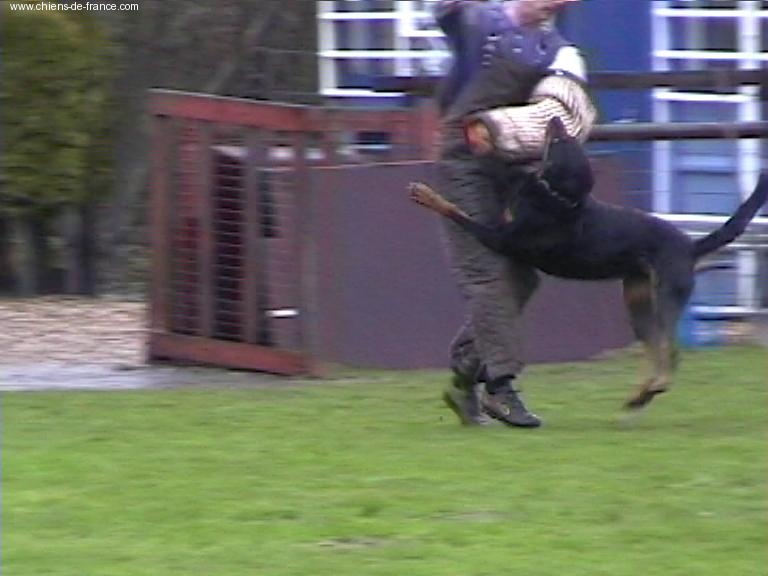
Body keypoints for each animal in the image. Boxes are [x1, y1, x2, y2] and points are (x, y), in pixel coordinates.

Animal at [410, 117, 767, 410]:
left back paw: (651, 390)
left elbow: (459, 213)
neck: (559, 198)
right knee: (655, 352)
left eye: (559, 140)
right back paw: (639, 397)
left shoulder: (499, 238)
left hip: (665, 298)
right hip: (637, 305)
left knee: (671, 353)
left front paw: (427, 194)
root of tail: (691, 247)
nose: (555, 118)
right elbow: (500, 168)